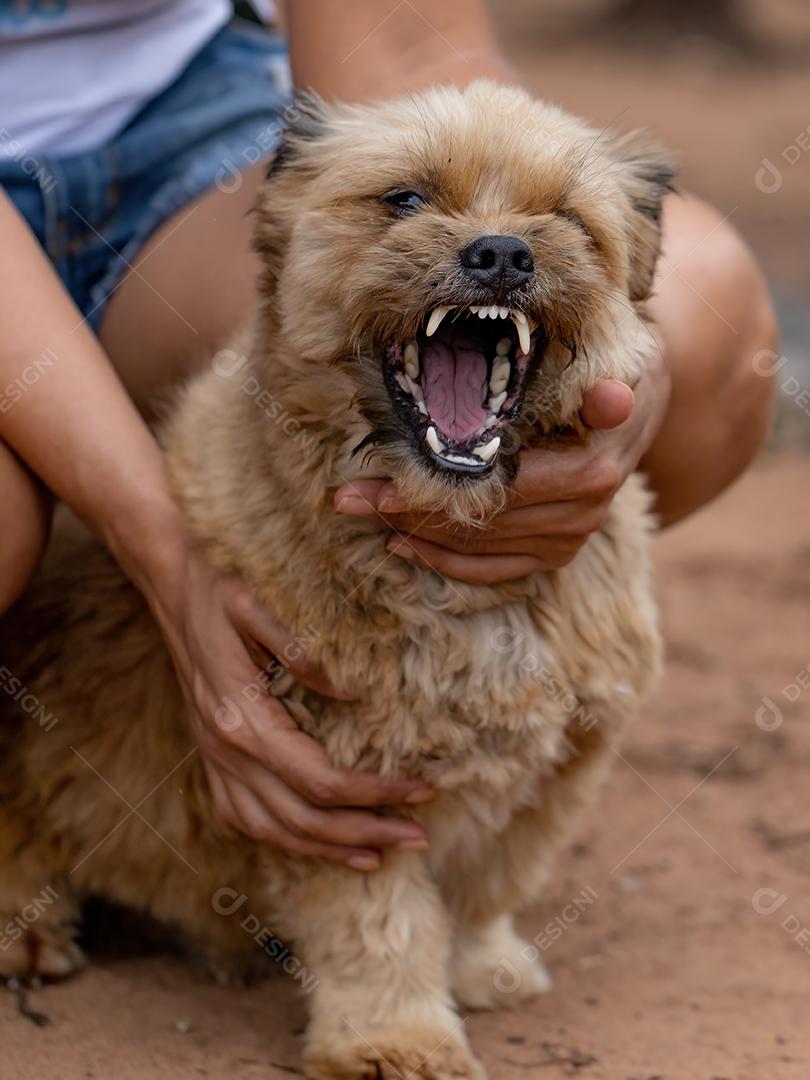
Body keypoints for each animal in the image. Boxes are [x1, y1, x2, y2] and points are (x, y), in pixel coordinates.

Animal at [0, 84, 673, 1080]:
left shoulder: (564, 761)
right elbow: (379, 929)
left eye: (563, 218)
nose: (503, 253)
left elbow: (486, 884)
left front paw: (483, 966)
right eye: (404, 199)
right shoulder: (339, 788)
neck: (447, 558)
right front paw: (398, 1038)